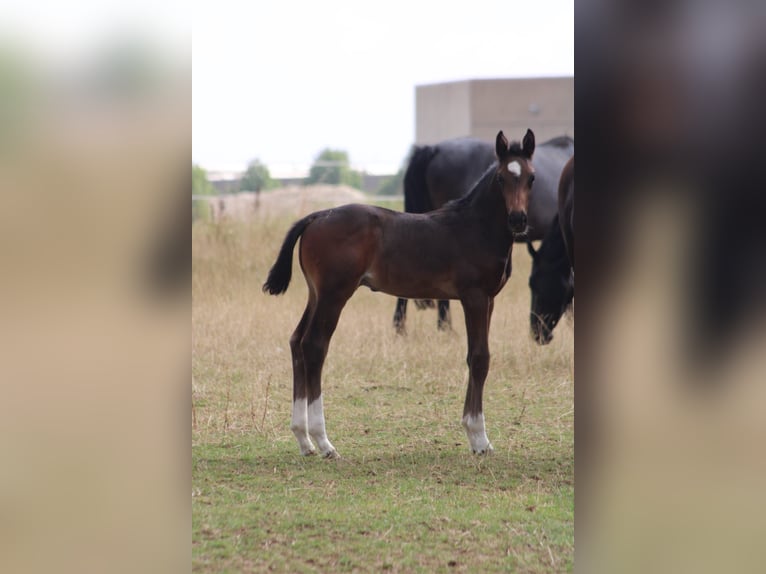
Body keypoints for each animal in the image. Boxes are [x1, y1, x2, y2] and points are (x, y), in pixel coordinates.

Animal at [263, 129, 537, 458]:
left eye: (532, 178)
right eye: (500, 178)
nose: (518, 220)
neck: (475, 228)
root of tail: (317, 216)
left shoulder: (490, 300)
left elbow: (477, 358)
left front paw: (474, 436)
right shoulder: (474, 298)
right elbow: (479, 358)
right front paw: (480, 439)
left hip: (315, 294)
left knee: (296, 341)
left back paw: (304, 440)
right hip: (334, 294)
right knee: (314, 346)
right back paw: (324, 442)